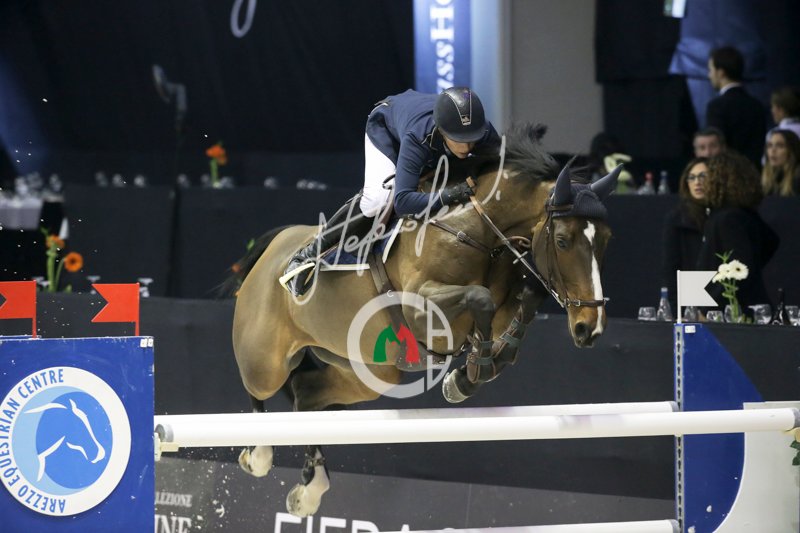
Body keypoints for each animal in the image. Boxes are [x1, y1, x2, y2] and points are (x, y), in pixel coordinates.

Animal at [229, 123, 620, 516]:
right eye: (563, 241)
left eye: (606, 240)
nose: (590, 328)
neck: (477, 229)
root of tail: (274, 246)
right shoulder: (422, 308)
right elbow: (480, 297)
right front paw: (471, 371)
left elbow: (523, 302)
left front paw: (469, 374)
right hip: (267, 362)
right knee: (260, 389)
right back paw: (259, 454)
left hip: (367, 372)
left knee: (305, 396)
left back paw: (310, 489)